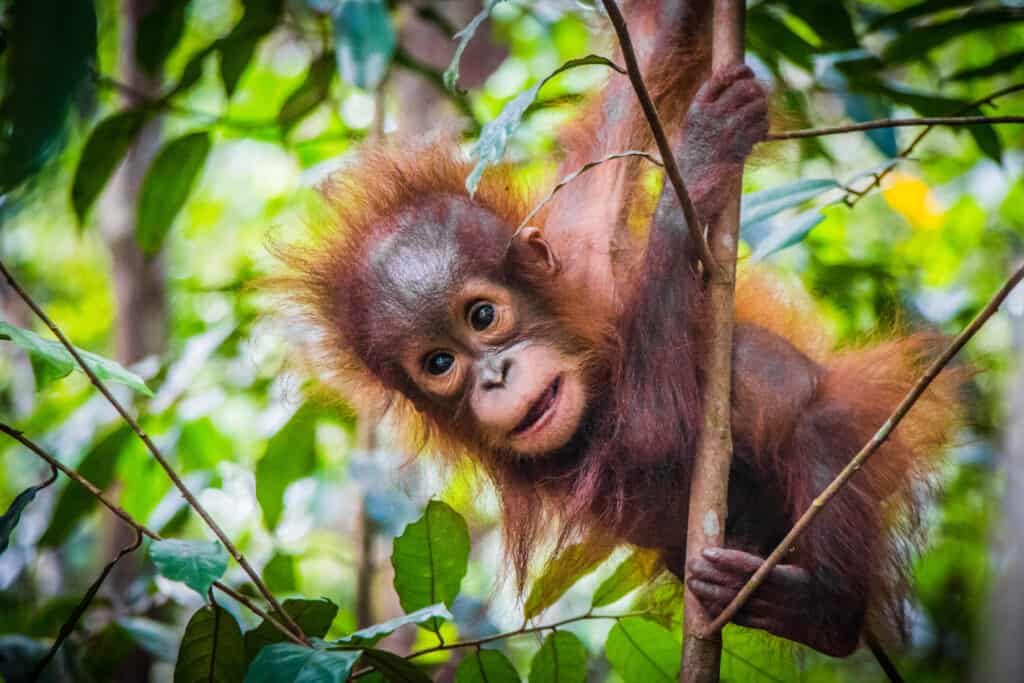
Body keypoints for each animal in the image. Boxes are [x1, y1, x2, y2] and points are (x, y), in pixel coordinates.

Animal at [272, 0, 962, 658]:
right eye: (440, 363)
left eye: (483, 316)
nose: (495, 376)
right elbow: (653, 438)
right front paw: (695, 169)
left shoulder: (582, 226)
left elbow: (653, 47)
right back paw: (819, 612)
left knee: (820, 418)